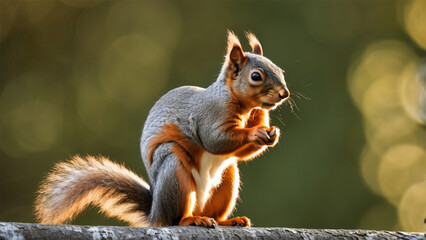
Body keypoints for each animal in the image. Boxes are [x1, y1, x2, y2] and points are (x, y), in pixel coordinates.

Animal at [35, 31, 292, 228]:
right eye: (256, 76)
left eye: (281, 71)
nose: (284, 93)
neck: (245, 108)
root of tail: (154, 213)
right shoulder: (208, 116)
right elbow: (216, 140)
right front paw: (254, 133)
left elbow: (241, 153)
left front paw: (272, 134)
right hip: (173, 171)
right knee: (174, 219)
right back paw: (191, 220)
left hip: (226, 180)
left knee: (214, 211)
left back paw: (227, 221)